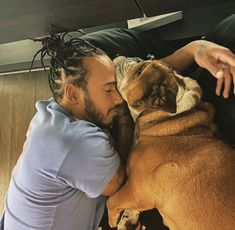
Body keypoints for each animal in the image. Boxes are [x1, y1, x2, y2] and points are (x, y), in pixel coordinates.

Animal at [107, 56, 235, 230]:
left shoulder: (137, 191)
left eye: (139, 71)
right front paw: (128, 219)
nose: (134, 58)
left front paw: (113, 220)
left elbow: (112, 200)